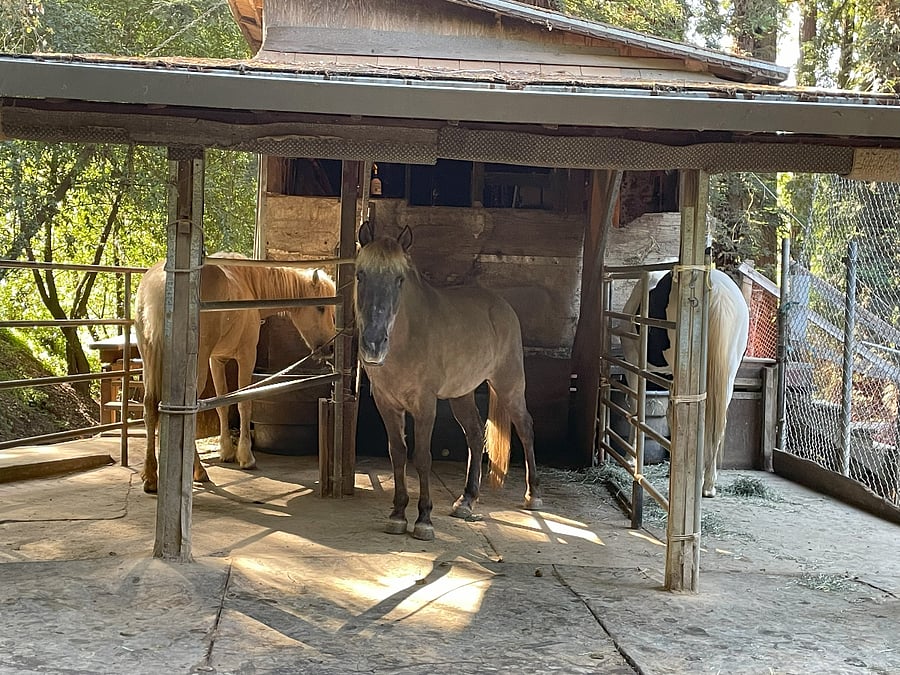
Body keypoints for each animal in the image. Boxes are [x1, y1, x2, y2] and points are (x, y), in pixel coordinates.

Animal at [134, 252, 336, 494]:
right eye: (321, 307)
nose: (330, 348)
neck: (250, 285)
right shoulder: (246, 356)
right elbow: (243, 402)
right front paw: (246, 457)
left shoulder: (217, 359)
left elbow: (223, 403)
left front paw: (227, 452)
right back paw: (198, 471)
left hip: (149, 361)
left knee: (149, 408)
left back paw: (150, 476)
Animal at [355, 222, 542, 541]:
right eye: (360, 275)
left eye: (399, 279)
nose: (373, 344)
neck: (408, 337)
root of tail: (502, 305)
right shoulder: (386, 403)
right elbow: (397, 453)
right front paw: (397, 514)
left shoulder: (425, 405)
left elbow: (422, 457)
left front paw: (424, 519)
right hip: (461, 393)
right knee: (475, 433)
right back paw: (466, 500)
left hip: (509, 383)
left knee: (525, 426)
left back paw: (533, 495)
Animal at [619, 268, 749, 497]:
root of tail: (719, 290)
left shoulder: (635, 363)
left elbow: (638, 409)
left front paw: (632, 458)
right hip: (727, 378)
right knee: (716, 424)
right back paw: (708, 485)